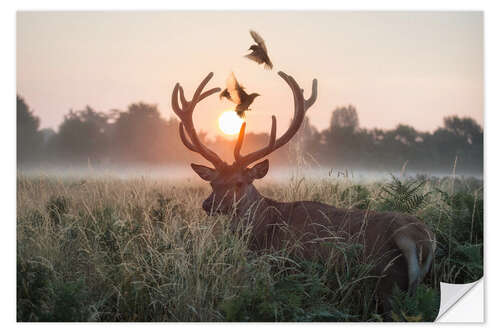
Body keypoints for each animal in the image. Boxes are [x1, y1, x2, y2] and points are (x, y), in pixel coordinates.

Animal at [171, 70, 434, 316]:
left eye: (239, 182)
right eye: (212, 183)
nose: (208, 204)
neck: (264, 230)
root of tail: (418, 237)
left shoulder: (285, 265)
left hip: (385, 281)